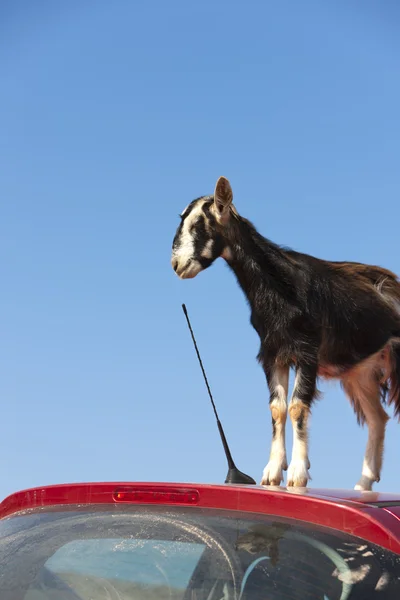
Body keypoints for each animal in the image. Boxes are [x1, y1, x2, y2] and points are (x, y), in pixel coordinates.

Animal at [171, 176, 400, 490]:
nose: (176, 264)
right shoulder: (274, 354)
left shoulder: (307, 351)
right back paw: (363, 483)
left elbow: (296, 407)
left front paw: (297, 473)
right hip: (361, 373)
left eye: (199, 224)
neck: (281, 288)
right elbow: (277, 409)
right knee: (378, 418)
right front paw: (271, 471)